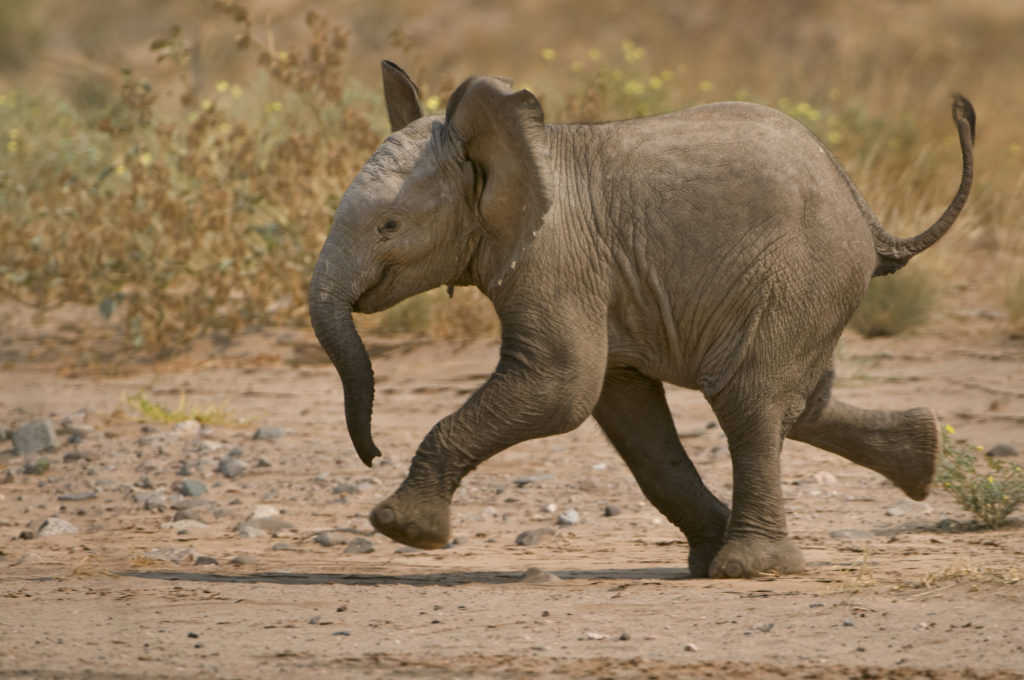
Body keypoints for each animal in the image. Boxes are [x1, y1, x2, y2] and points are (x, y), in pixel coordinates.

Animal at [305, 61, 974, 577]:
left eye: (389, 226)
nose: (373, 455)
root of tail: (865, 213)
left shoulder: (556, 260)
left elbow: (561, 388)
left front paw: (402, 528)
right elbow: (624, 410)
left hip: (800, 271)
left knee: (748, 398)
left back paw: (751, 566)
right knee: (800, 401)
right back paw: (922, 457)